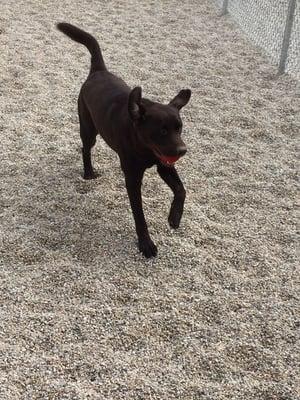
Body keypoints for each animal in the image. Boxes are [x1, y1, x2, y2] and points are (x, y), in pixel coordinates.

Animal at [56, 22, 192, 260]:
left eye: (179, 128)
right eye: (162, 131)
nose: (182, 150)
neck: (144, 147)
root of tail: (98, 71)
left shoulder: (164, 165)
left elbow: (181, 190)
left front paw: (174, 217)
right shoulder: (132, 179)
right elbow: (139, 215)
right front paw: (146, 244)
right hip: (88, 128)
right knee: (85, 148)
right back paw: (88, 172)